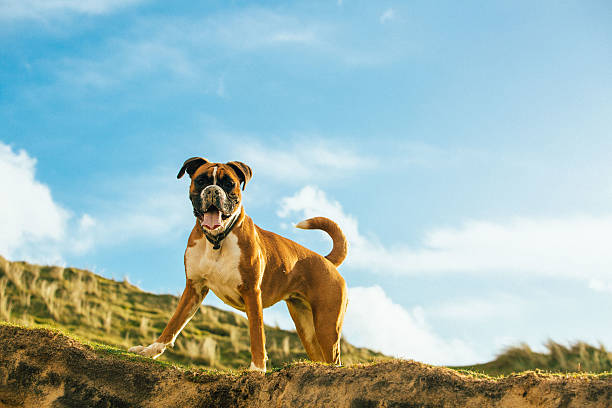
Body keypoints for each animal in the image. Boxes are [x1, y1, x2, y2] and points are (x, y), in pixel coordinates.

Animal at [128, 158, 350, 372]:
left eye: (229, 183)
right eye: (201, 181)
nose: (213, 191)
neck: (218, 240)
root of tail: (325, 260)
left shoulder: (251, 292)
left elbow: (257, 334)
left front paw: (257, 368)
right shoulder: (194, 288)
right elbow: (173, 324)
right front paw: (150, 350)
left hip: (326, 325)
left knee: (335, 358)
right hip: (307, 328)